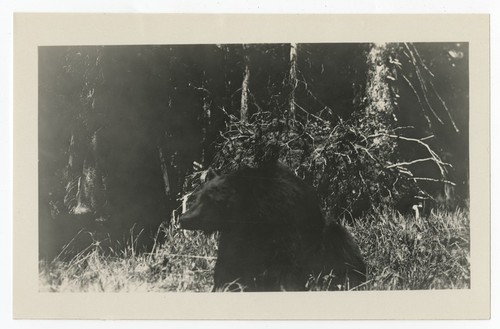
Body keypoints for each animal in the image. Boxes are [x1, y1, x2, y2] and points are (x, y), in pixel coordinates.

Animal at [180, 163, 368, 290]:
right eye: (198, 197)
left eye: (211, 201)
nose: (184, 218)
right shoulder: (235, 237)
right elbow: (229, 265)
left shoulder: (285, 235)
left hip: (330, 238)